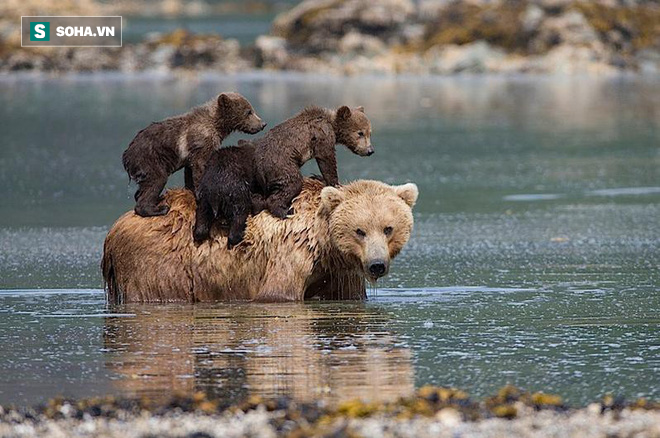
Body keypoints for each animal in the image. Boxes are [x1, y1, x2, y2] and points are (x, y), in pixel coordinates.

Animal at [102, 177, 418, 302]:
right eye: (359, 230)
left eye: (388, 228)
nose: (377, 265)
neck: (324, 244)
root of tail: (113, 231)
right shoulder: (291, 254)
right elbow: (278, 294)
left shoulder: (339, 273)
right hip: (159, 264)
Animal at [121, 92, 266, 217]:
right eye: (248, 112)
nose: (262, 124)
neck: (217, 125)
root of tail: (126, 154)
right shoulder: (202, 142)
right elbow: (199, 166)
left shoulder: (192, 153)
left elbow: (190, 172)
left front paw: (191, 191)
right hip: (150, 159)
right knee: (156, 180)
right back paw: (158, 208)